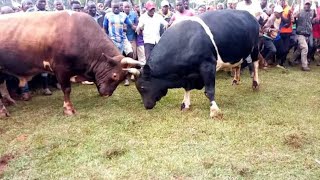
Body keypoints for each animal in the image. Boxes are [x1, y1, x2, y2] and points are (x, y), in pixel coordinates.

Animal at [0, 10, 141, 116]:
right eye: (115, 76)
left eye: (123, 78)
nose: (107, 94)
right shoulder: (61, 69)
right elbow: (67, 89)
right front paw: (68, 109)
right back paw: (3, 111)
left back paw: (10, 101)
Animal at [134, 10, 262, 119]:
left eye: (142, 87)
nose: (147, 106)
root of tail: (248, 14)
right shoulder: (188, 74)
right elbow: (187, 88)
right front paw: (185, 104)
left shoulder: (208, 65)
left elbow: (209, 91)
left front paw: (214, 111)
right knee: (237, 65)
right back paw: (236, 80)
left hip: (255, 46)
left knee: (255, 64)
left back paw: (255, 83)